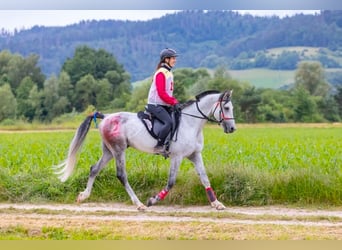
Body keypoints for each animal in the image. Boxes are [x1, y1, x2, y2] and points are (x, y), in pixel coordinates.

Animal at [54, 90, 236, 211]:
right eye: (226, 108)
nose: (232, 129)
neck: (191, 124)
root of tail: (106, 117)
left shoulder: (195, 155)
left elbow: (204, 178)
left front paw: (216, 203)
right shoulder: (176, 156)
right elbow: (171, 182)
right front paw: (152, 200)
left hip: (109, 151)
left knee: (94, 169)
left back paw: (84, 196)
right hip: (118, 150)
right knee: (121, 175)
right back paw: (139, 203)